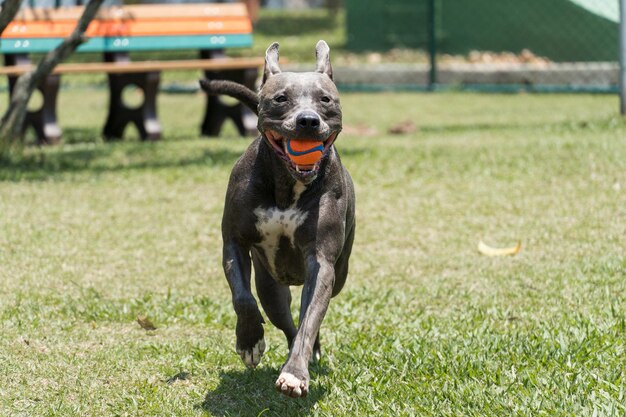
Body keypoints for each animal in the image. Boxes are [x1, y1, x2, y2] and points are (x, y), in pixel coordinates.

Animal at [202, 40, 354, 398]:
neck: (287, 186)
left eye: (325, 100)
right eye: (281, 98)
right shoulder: (234, 242)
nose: (308, 121)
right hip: (271, 287)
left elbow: (310, 318)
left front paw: (295, 373)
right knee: (284, 319)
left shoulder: (321, 263)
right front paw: (249, 341)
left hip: (339, 274)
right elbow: (242, 298)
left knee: (306, 319)